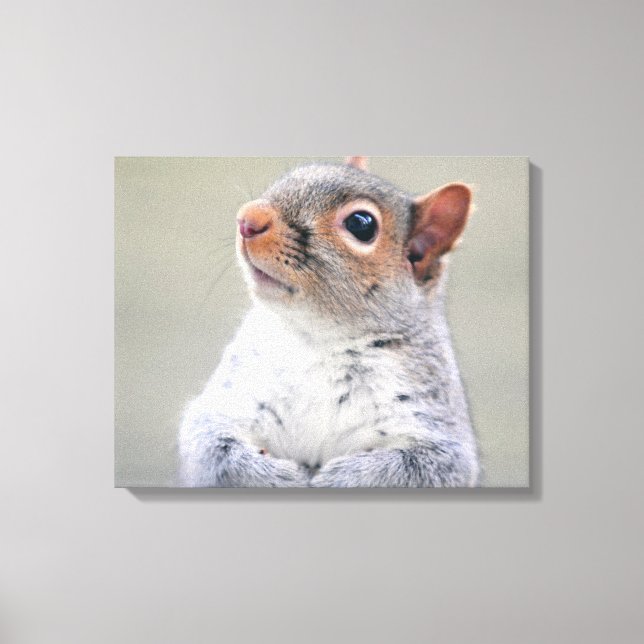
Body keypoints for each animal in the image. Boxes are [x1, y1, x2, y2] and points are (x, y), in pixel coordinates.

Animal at [179, 157, 480, 487]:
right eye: (292, 175)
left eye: (361, 224)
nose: (247, 218)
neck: (318, 339)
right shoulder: (229, 400)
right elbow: (211, 445)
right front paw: (277, 477)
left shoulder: (433, 422)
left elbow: (425, 467)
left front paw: (340, 479)